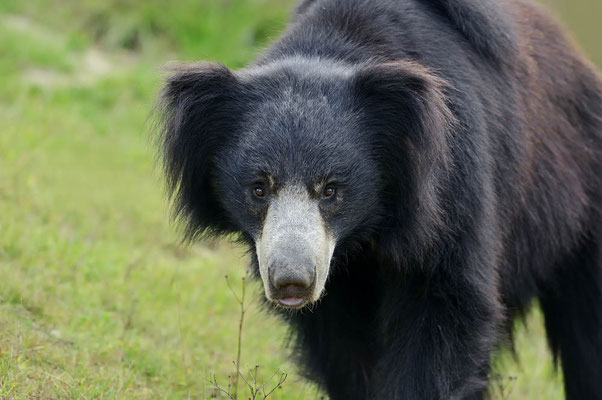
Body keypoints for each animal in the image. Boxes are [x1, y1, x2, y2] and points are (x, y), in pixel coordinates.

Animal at [156, 0, 600, 398]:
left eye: (331, 189)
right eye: (259, 188)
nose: (292, 281)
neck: (366, 233)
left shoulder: (451, 188)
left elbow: (443, 307)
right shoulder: (334, 287)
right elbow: (342, 347)